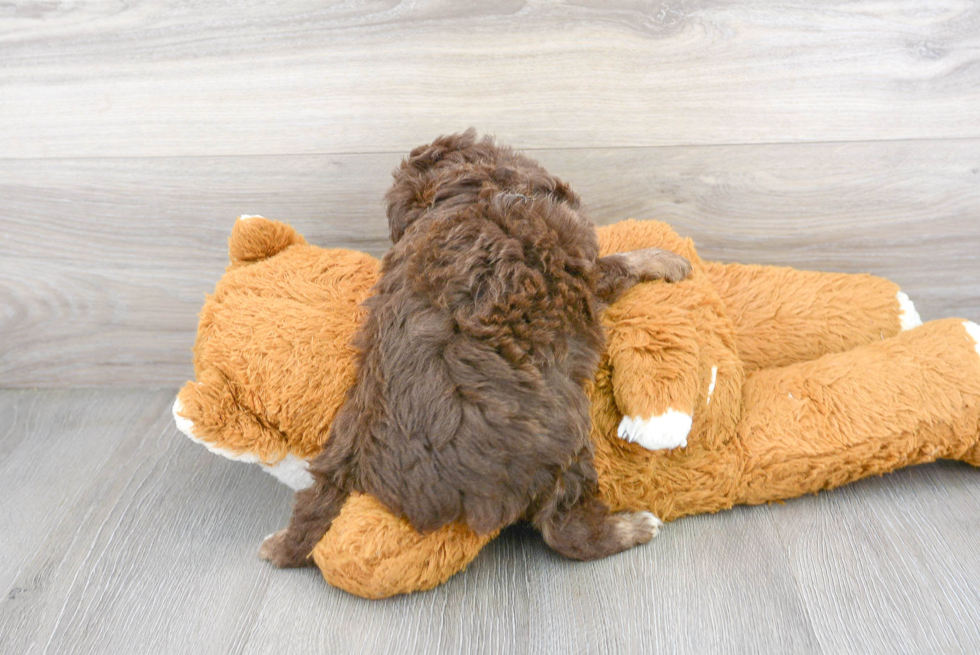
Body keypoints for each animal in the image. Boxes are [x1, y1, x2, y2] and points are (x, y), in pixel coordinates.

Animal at [260, 131, 688, 568]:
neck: (468, 194)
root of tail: (362, 469)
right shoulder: (584, 268)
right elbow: (619, 263)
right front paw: (667, 260)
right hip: (561, 434)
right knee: (564, 529)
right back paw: (632, 527)